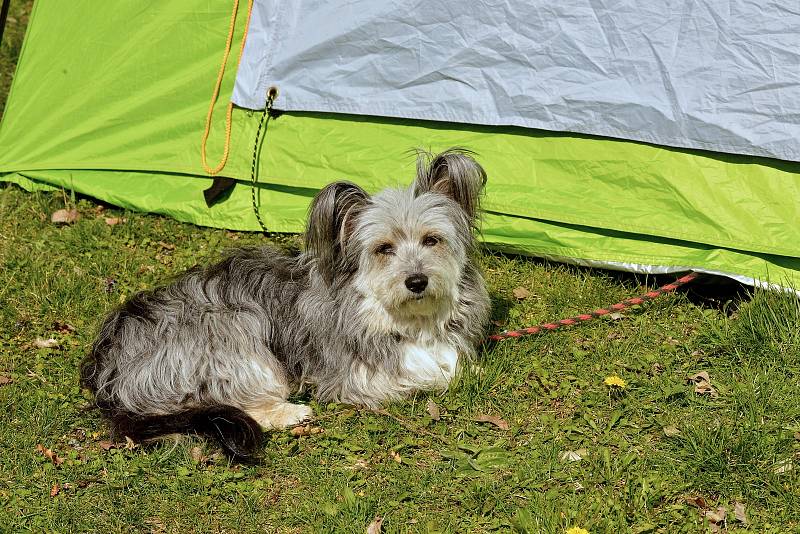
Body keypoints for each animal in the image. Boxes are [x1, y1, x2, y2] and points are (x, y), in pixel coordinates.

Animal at [83, 150, 494, 460]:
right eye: (384, 249)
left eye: (431, 240)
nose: (416, 281)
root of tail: (111, 370)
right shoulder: (357, 375)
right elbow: (431, 372)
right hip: (234, 328)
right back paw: (291, 412)